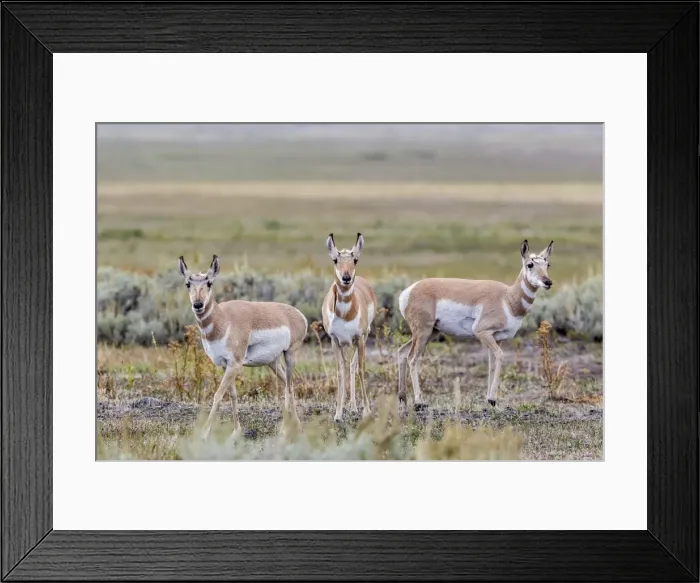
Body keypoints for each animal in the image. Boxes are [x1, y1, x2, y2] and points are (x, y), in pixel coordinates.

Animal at [178, 254, 308, 438]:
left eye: (209, 283)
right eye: (188, 284)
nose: (198, 304)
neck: (223, 319)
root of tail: (299, 314)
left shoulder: (235, 365)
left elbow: (218, 395)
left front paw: (204, 434)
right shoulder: (225, 365)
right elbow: (232, 394)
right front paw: (236, 431)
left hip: (290, 355)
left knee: (289, 387)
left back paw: (284, 430)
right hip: (273, 362)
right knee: (288, 385)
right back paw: (298, 427)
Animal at [322, 233, 378, 421]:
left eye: (355, 260)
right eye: (335, 260)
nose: (346, 278)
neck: (346, 313)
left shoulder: (359, 339)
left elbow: (360, 369)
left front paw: (367, 411)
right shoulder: (335, 341)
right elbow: (341, 372)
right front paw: (338, 414)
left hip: (362, 339)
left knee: (353, 366)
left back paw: (354, 407)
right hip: (347, 344)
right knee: (348, 367)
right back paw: (349, 406)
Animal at [397, 240, 554, 409]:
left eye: (547, 264)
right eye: (530, 264)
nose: (548, 282)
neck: (507, 298)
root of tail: (407, 292)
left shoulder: (498, 338)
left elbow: (492, 364)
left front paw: (489, 399)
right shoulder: (482, 332)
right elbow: (500, 356)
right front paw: (492, 399)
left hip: (431, 333)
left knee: (402, 352)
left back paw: (402, 398)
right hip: (423, 333)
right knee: (412, 358)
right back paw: (419, 402)